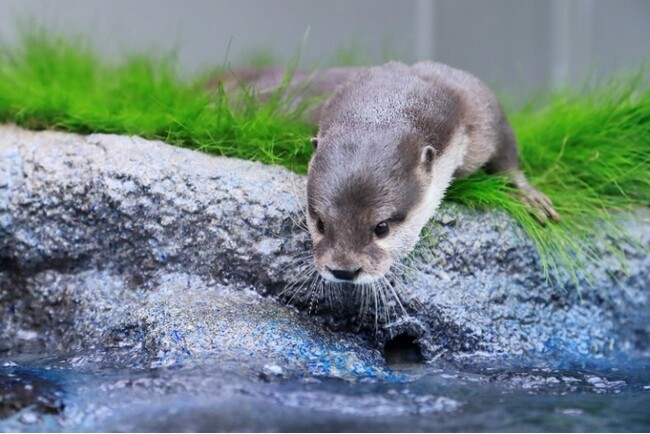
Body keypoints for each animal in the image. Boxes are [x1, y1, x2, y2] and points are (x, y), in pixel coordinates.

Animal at [306, 62, 556, 284]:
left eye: (382, 227)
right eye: (320, 224)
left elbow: (506, 150)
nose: (344, 270)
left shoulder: (482, 108)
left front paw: (528, 196)